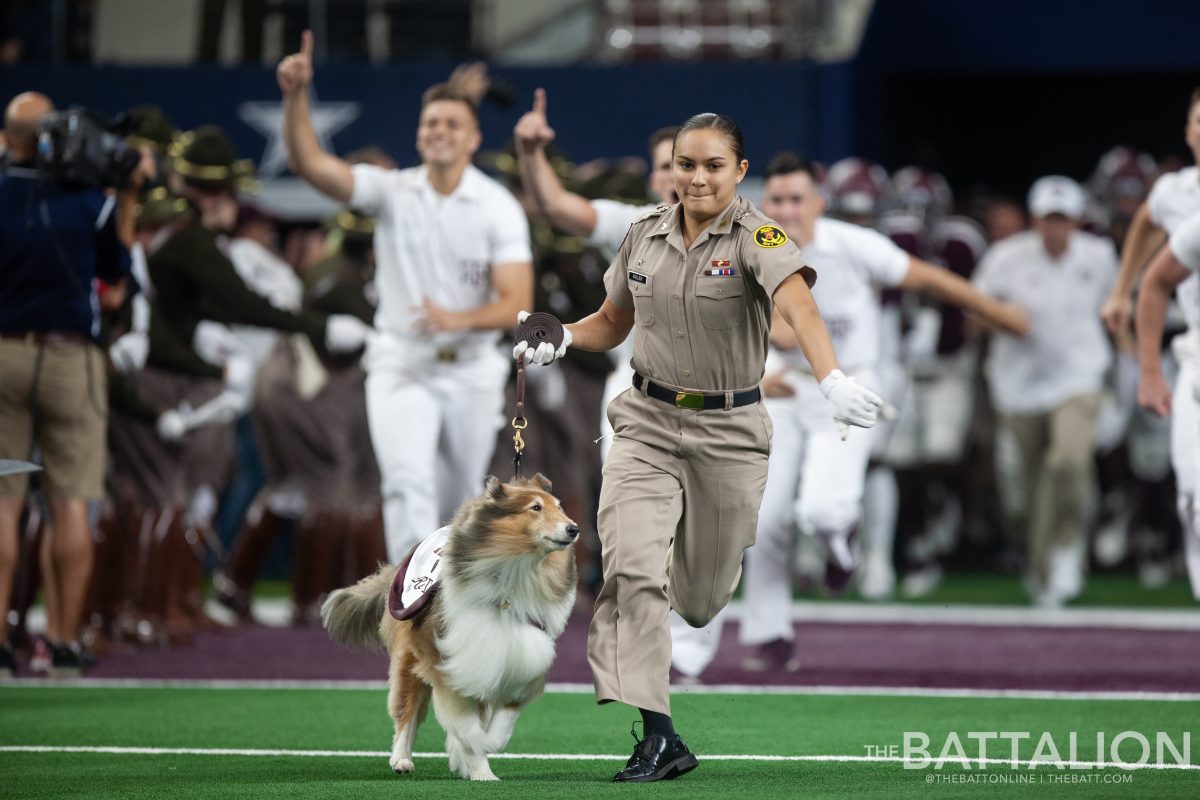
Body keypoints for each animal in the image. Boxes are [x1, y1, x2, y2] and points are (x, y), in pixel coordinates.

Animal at [321, 474, 578, 782]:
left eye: (560, 506)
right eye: (535, 507)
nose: (574, 529)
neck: (513, 574)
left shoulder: (517, 657)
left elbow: (501, 719)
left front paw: (482, 752)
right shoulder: (451, 657)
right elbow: (464, 723)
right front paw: (481, 767)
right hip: (411, 657)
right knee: (406, 712)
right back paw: (401, 759)